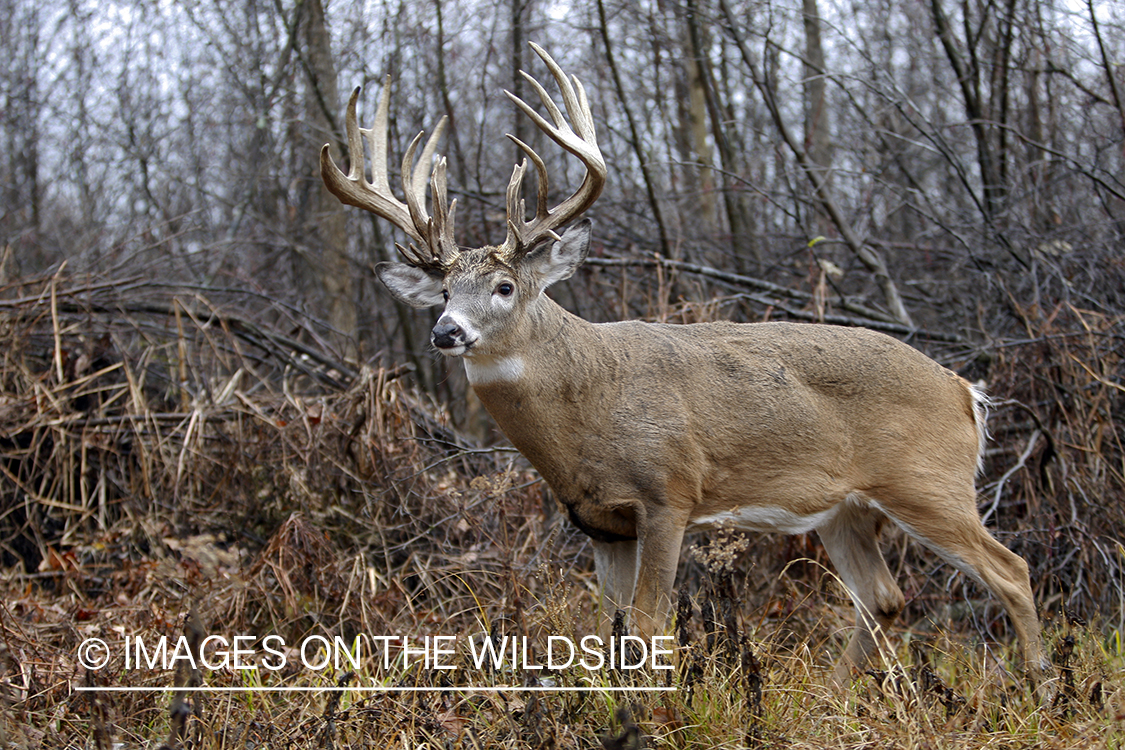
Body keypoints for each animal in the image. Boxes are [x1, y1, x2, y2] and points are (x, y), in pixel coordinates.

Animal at [321, 44, 1048, 688]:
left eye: (503, 287)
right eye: (443, 290)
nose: (446, 331)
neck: (586, 405)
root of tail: (964, 390)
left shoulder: (667, 493)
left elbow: (647, 628)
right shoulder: (598, 522)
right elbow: (605, 633)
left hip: (928, 483)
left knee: (1010, 570)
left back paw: (1040, 690)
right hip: (844, 508)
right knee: (886, 599)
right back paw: (832, 698)